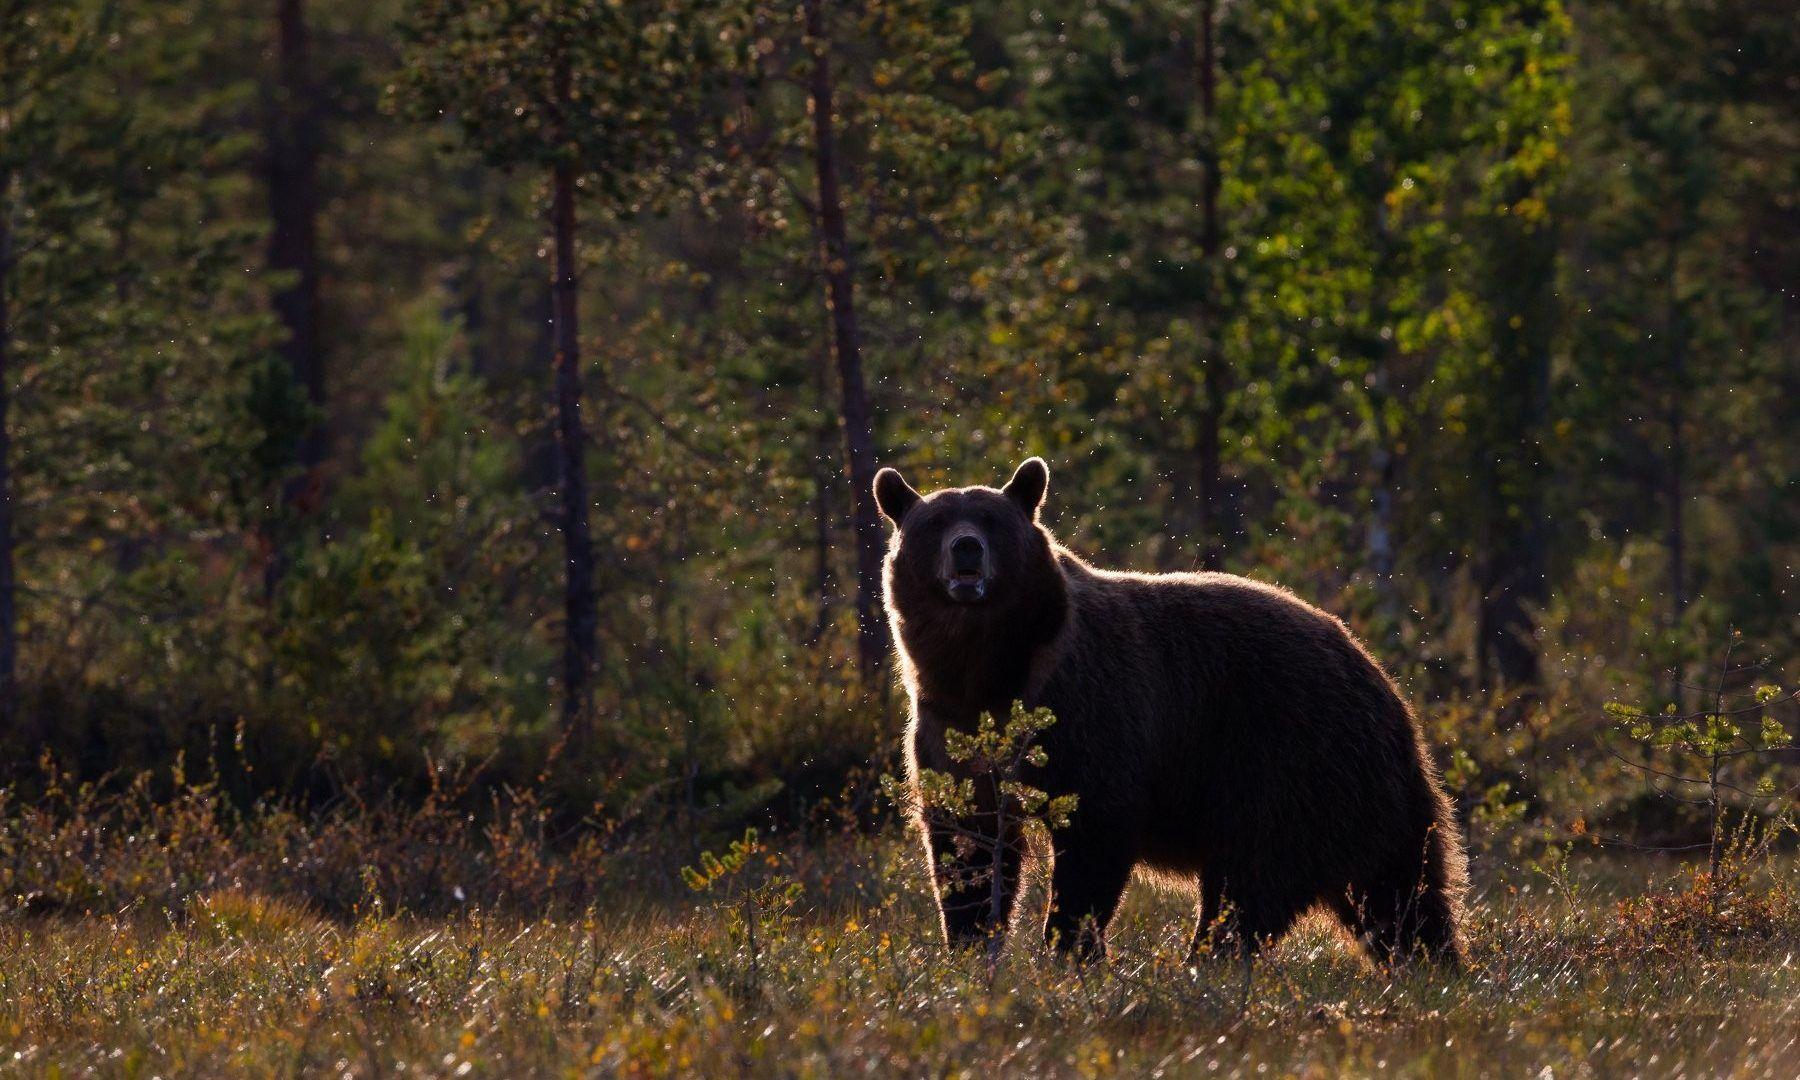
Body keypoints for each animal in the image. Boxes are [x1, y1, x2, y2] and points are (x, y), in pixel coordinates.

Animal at [874, 456, 1467, 967]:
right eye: (936, 522)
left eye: (993, 520)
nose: (966, 549)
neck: (991, 672)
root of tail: (1381, 679)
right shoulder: (948, 723)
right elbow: (965, 840)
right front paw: (971, 942)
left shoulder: (1092, 710)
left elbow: (1094, 831)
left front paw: (1072, 947)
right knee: (1399, 896)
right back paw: (1431, 964)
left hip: (1288, 762)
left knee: (1253, 885)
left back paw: (1206, 960)